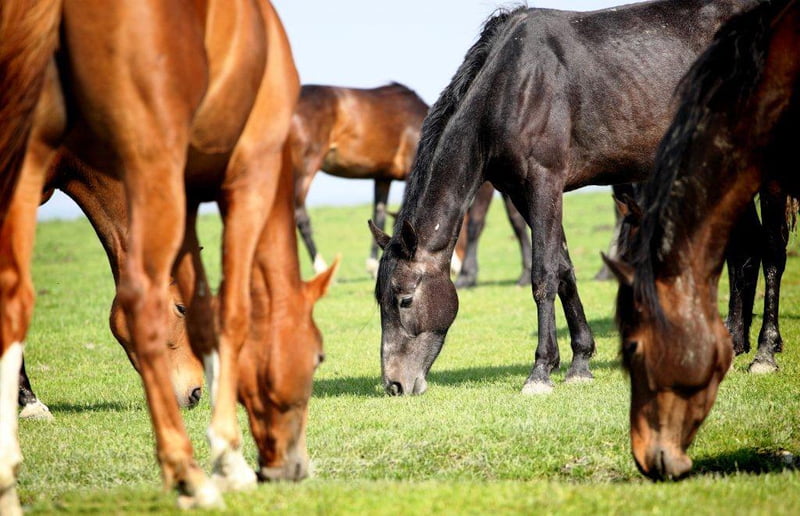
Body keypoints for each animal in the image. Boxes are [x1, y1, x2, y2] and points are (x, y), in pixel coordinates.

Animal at [0, 0, 338, 510]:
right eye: (317, 357)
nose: (194, 393)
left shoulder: (190, 191)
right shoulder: (247, 176)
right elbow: (230, 313)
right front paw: (228, 459)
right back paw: (190, 476)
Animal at [290, 83, 432, 278]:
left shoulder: (382, 177)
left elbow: (379, 214)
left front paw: (372, 265)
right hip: (306, 166)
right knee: (300, 215)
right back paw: (321, 267)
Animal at [368, 0, 756, 396]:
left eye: (404, 299)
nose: (395, 384)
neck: (513, 86)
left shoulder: (545, 183)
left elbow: (544, 276)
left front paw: (540, 370)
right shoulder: (523, 193)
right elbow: (565, 269)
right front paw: (580, 361)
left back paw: (759, 354)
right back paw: (735, 343)